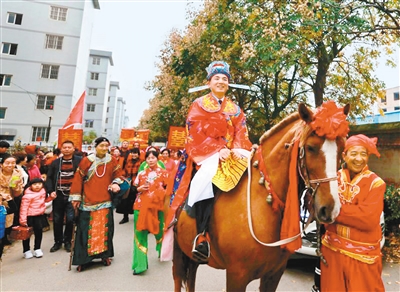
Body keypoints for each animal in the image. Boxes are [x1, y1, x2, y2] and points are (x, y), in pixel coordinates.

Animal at [172, 101, 350, 290]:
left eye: (342, 148)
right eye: (310, 148)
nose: (330, 209)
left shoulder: (274, 274)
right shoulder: (237, 276)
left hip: (192, 258)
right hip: (178, 251)